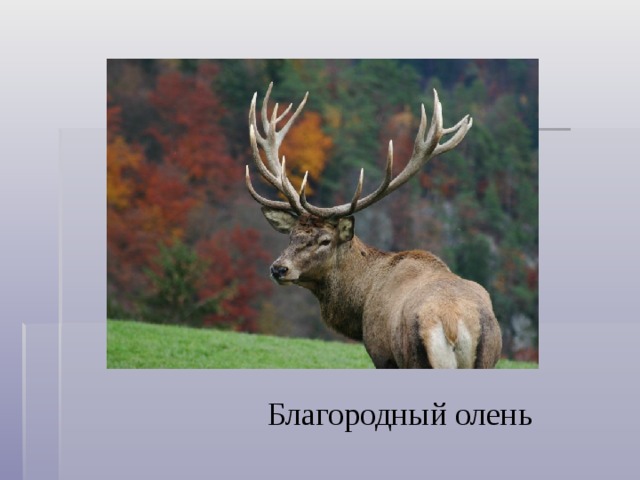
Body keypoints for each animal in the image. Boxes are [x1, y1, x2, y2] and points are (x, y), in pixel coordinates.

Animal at [244, 83, 502, 368]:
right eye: (292, 235)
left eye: (325, 240)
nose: (279, 268)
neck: (360, 307)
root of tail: (453, 324)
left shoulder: (381, 352)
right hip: (487, 357)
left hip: (416, 357)